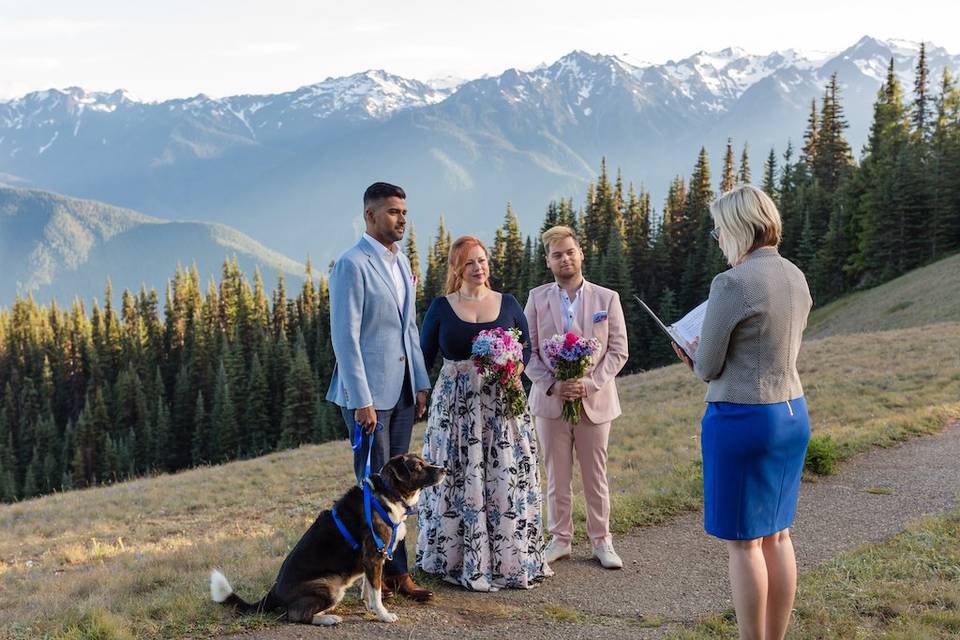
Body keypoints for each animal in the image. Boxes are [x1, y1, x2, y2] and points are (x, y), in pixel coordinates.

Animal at [208, 456, 444, 624]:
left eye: (424, 461)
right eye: (418, 466)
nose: (445, 470)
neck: (388, 492)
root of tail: (273, 591)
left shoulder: (371, 561)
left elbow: (369, 588)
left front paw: (371, 608)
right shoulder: (374, 556)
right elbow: (375, 591)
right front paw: (384, 615)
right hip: (329, 586)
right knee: (295, 616)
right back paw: (328, 618)